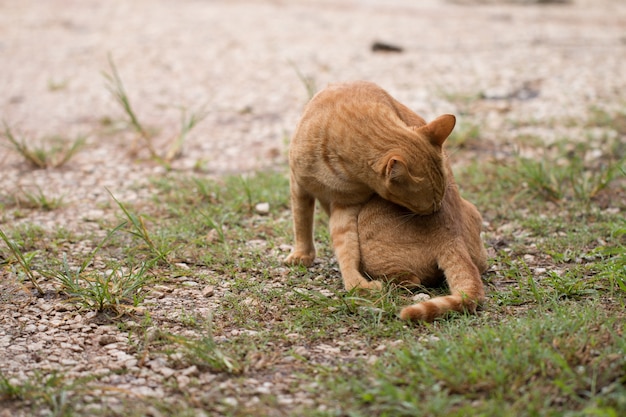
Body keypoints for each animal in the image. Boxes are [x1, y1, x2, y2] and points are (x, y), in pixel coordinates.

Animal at [286, 80, 456, 290]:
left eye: (438, 201)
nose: (437, 210)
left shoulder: (346, 206)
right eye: (430, 204)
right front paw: (302, 254)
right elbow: (301, 222)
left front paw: (356, 284)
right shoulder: (299, 186)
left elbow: (346, 247)